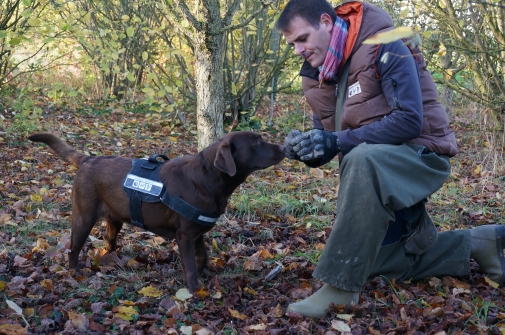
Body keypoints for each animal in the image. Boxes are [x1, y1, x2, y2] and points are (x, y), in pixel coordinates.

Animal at [29, 131, 284, 292]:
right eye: (256, 143)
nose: (283, 147)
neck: (209, 176)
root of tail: (88, 160)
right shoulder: (185, 235)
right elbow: (190, 265)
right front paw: (194, 290)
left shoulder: (197, 232)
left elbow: (202, 257)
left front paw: (205, 275)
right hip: (84, 216)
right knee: (73, 248)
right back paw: (76, 273)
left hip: (114, 220)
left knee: (108, 243)